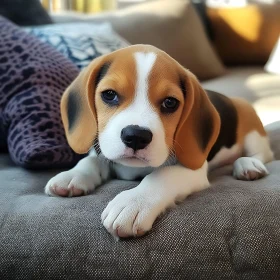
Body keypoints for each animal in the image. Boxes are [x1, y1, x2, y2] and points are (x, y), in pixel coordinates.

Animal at [45, 45, 274, 238]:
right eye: (109, 95)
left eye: (170, 102)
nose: (136, 136)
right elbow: (92, 160)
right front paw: (72, 176)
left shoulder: (193, 170)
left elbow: (162, 175)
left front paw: (132, 203)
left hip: (253, 132)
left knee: (264, 155)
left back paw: (248, 165)